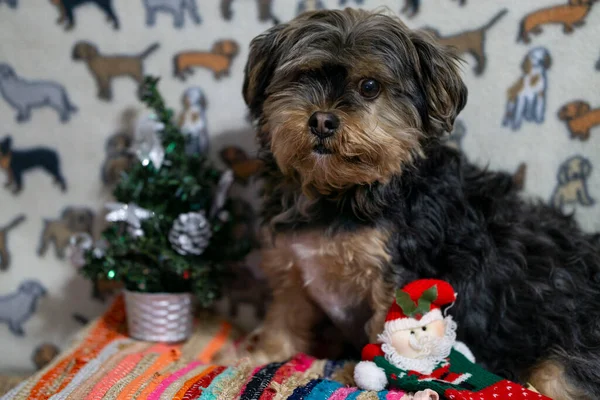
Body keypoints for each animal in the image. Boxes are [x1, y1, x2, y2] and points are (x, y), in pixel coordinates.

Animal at [231, 9, 600, 400]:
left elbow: (383, 331)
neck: (339, 193)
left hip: (562, 367)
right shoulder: (295, 267)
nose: (321, 120)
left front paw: (361, 375)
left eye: (370, 86)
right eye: (302, 76)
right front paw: (262, 356)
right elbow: (283, 318)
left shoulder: (397, 276)